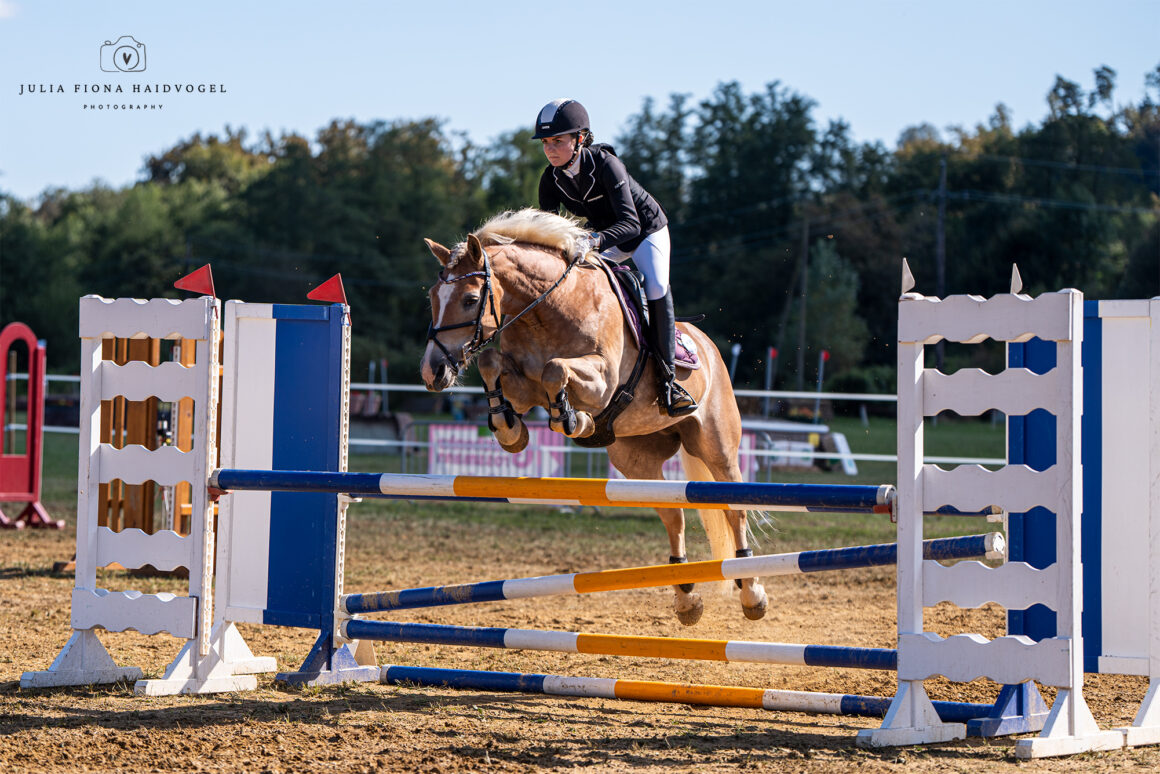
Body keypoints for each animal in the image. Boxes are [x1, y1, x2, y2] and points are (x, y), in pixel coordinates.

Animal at [419, 208, 770, 626]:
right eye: (432, 298)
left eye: (471, 299)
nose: (433, 372)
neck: (549, 308)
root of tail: (708, 344)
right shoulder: (523, 385)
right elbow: (494, 363)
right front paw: (510, 429)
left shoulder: (602, 380)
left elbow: (555, 369)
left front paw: (576, 421)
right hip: (635, 459)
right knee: (673, 515)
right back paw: (686, 597)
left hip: (716, 446)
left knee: (735, 510)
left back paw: (751, 591)